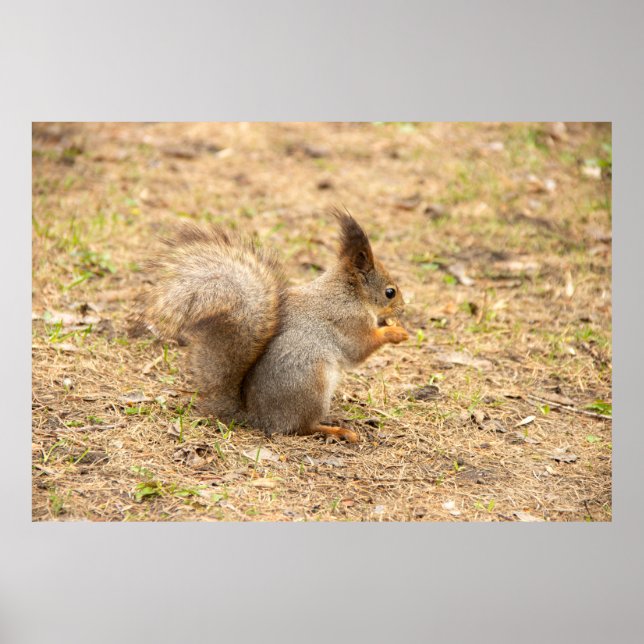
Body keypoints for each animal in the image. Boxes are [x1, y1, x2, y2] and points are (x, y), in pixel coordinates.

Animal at [137, 207, 409, 443]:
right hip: (312, 384)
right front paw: (395, 332)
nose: (403, 309)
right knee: (302, 427)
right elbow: (360, 349)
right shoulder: (349, 321)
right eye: (390, 292)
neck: (350, 294)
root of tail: (258, 417)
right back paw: (337, 430)